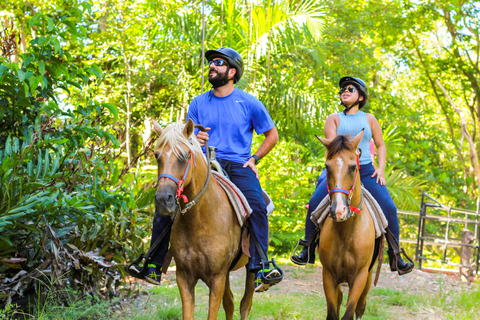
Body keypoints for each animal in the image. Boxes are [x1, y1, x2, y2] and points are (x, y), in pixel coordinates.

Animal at [153, 119, 255, 320]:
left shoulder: (217, 278)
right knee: (230, 303)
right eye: (156, 156)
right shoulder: (184, 277)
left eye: (185, 156)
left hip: (250, 270)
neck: (200, 220)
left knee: (245, 304)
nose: (163, 200)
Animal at [316, 129, 376, 320]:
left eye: (353, 167)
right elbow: (332, 313)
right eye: (327, 167)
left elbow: (349, 313)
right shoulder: (328, 275)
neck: (346, 233)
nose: (339, 210)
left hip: (368, 277)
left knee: (361, 307)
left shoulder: (359, 277)